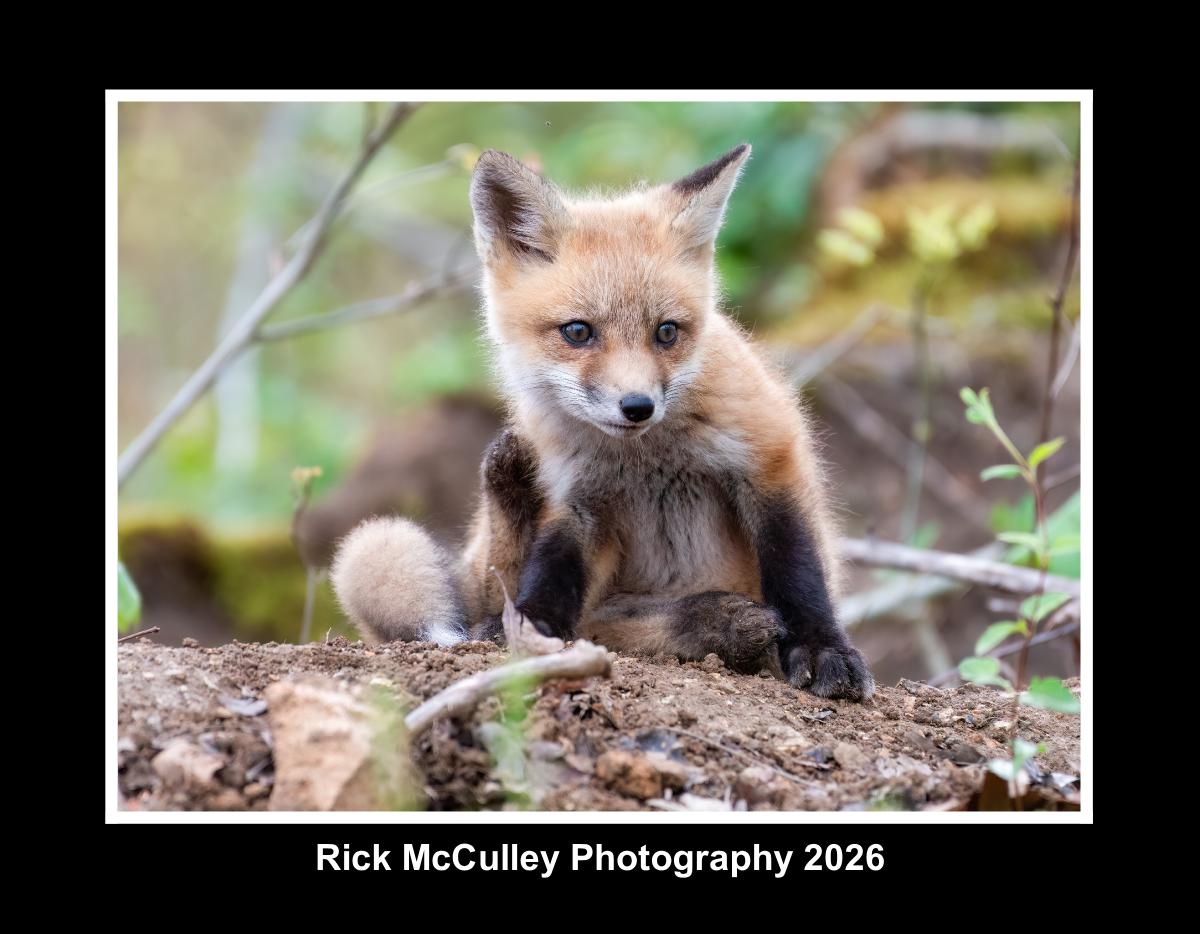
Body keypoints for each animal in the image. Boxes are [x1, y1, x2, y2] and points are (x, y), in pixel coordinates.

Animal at [331, 143, 875, 700]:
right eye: (577, 332)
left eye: (666, 332)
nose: (637, 406)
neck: (645, 456)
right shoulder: (576, 498)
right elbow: (551, 575)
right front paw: (530, 633)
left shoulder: (768, 458)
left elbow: (799, 572)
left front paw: (822, 648)